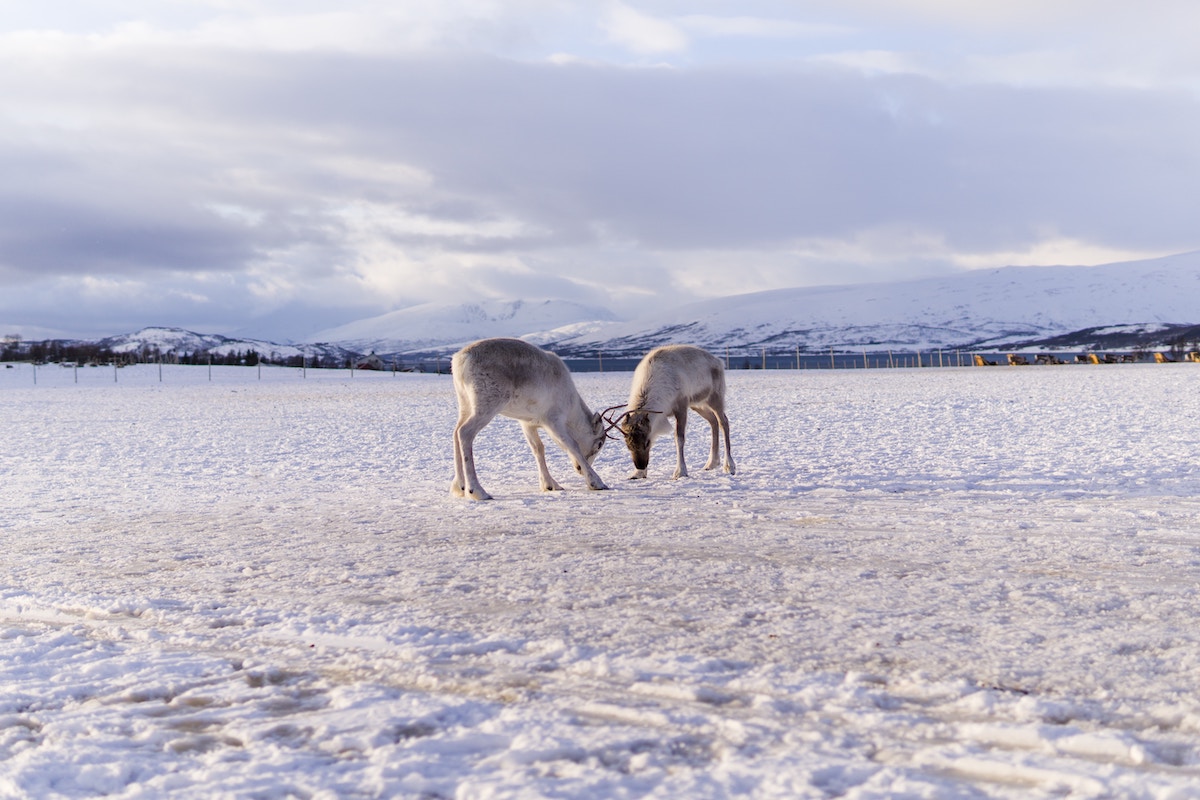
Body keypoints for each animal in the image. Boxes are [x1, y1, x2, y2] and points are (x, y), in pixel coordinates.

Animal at [449, 338, 610, 500]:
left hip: (465, 404)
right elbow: (572, 445)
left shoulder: (528, 424)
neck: (572, 407)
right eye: (599, 444)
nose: (579, 469)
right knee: (464, 432)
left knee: (456, 433)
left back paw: (460, 487)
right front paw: (596, 482)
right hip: (486, 406)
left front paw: (550, 485)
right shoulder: (554, 421)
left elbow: (538, 448)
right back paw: (477, 491)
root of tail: (460, 359)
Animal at [613, 344, 735, 480]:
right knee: (713, 421)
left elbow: (679, 438)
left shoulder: (681, 406)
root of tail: (719, 361)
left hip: (715, 398)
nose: (640, 465)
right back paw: (711, 463)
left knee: (723, 422)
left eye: (647, 443)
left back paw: (729, 466)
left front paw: (680, 471)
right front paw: (638, 474)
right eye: (628, 445)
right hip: (697, 405)